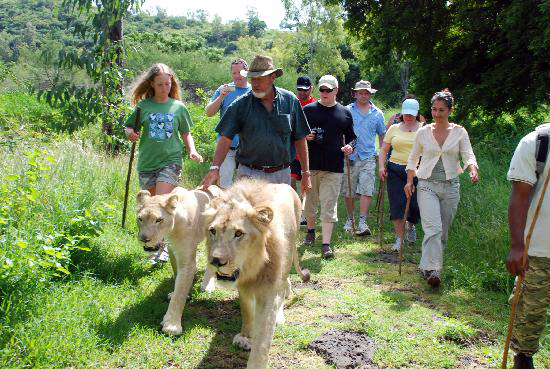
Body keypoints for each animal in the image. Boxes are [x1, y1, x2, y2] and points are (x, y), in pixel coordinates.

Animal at [137, 185, 223, 334]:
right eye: (140, 219)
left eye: (158, 220)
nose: (144, 239)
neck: (172, 229)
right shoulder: (173, 249)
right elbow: (177, 275)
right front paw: (177, 293)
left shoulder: (187, 261)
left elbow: (180, 293)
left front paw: (172, 325)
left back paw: (207, 285)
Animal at [205, 178, 312, 368]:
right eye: (213, 231)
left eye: (238, 233)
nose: (216, 261)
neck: (253, 268)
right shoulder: (243, 286)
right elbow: (247, 311)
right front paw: (245, 337)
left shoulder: (268, 289)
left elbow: (263, 337)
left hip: (288, 254)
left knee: (283, 287)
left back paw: (279, 315)